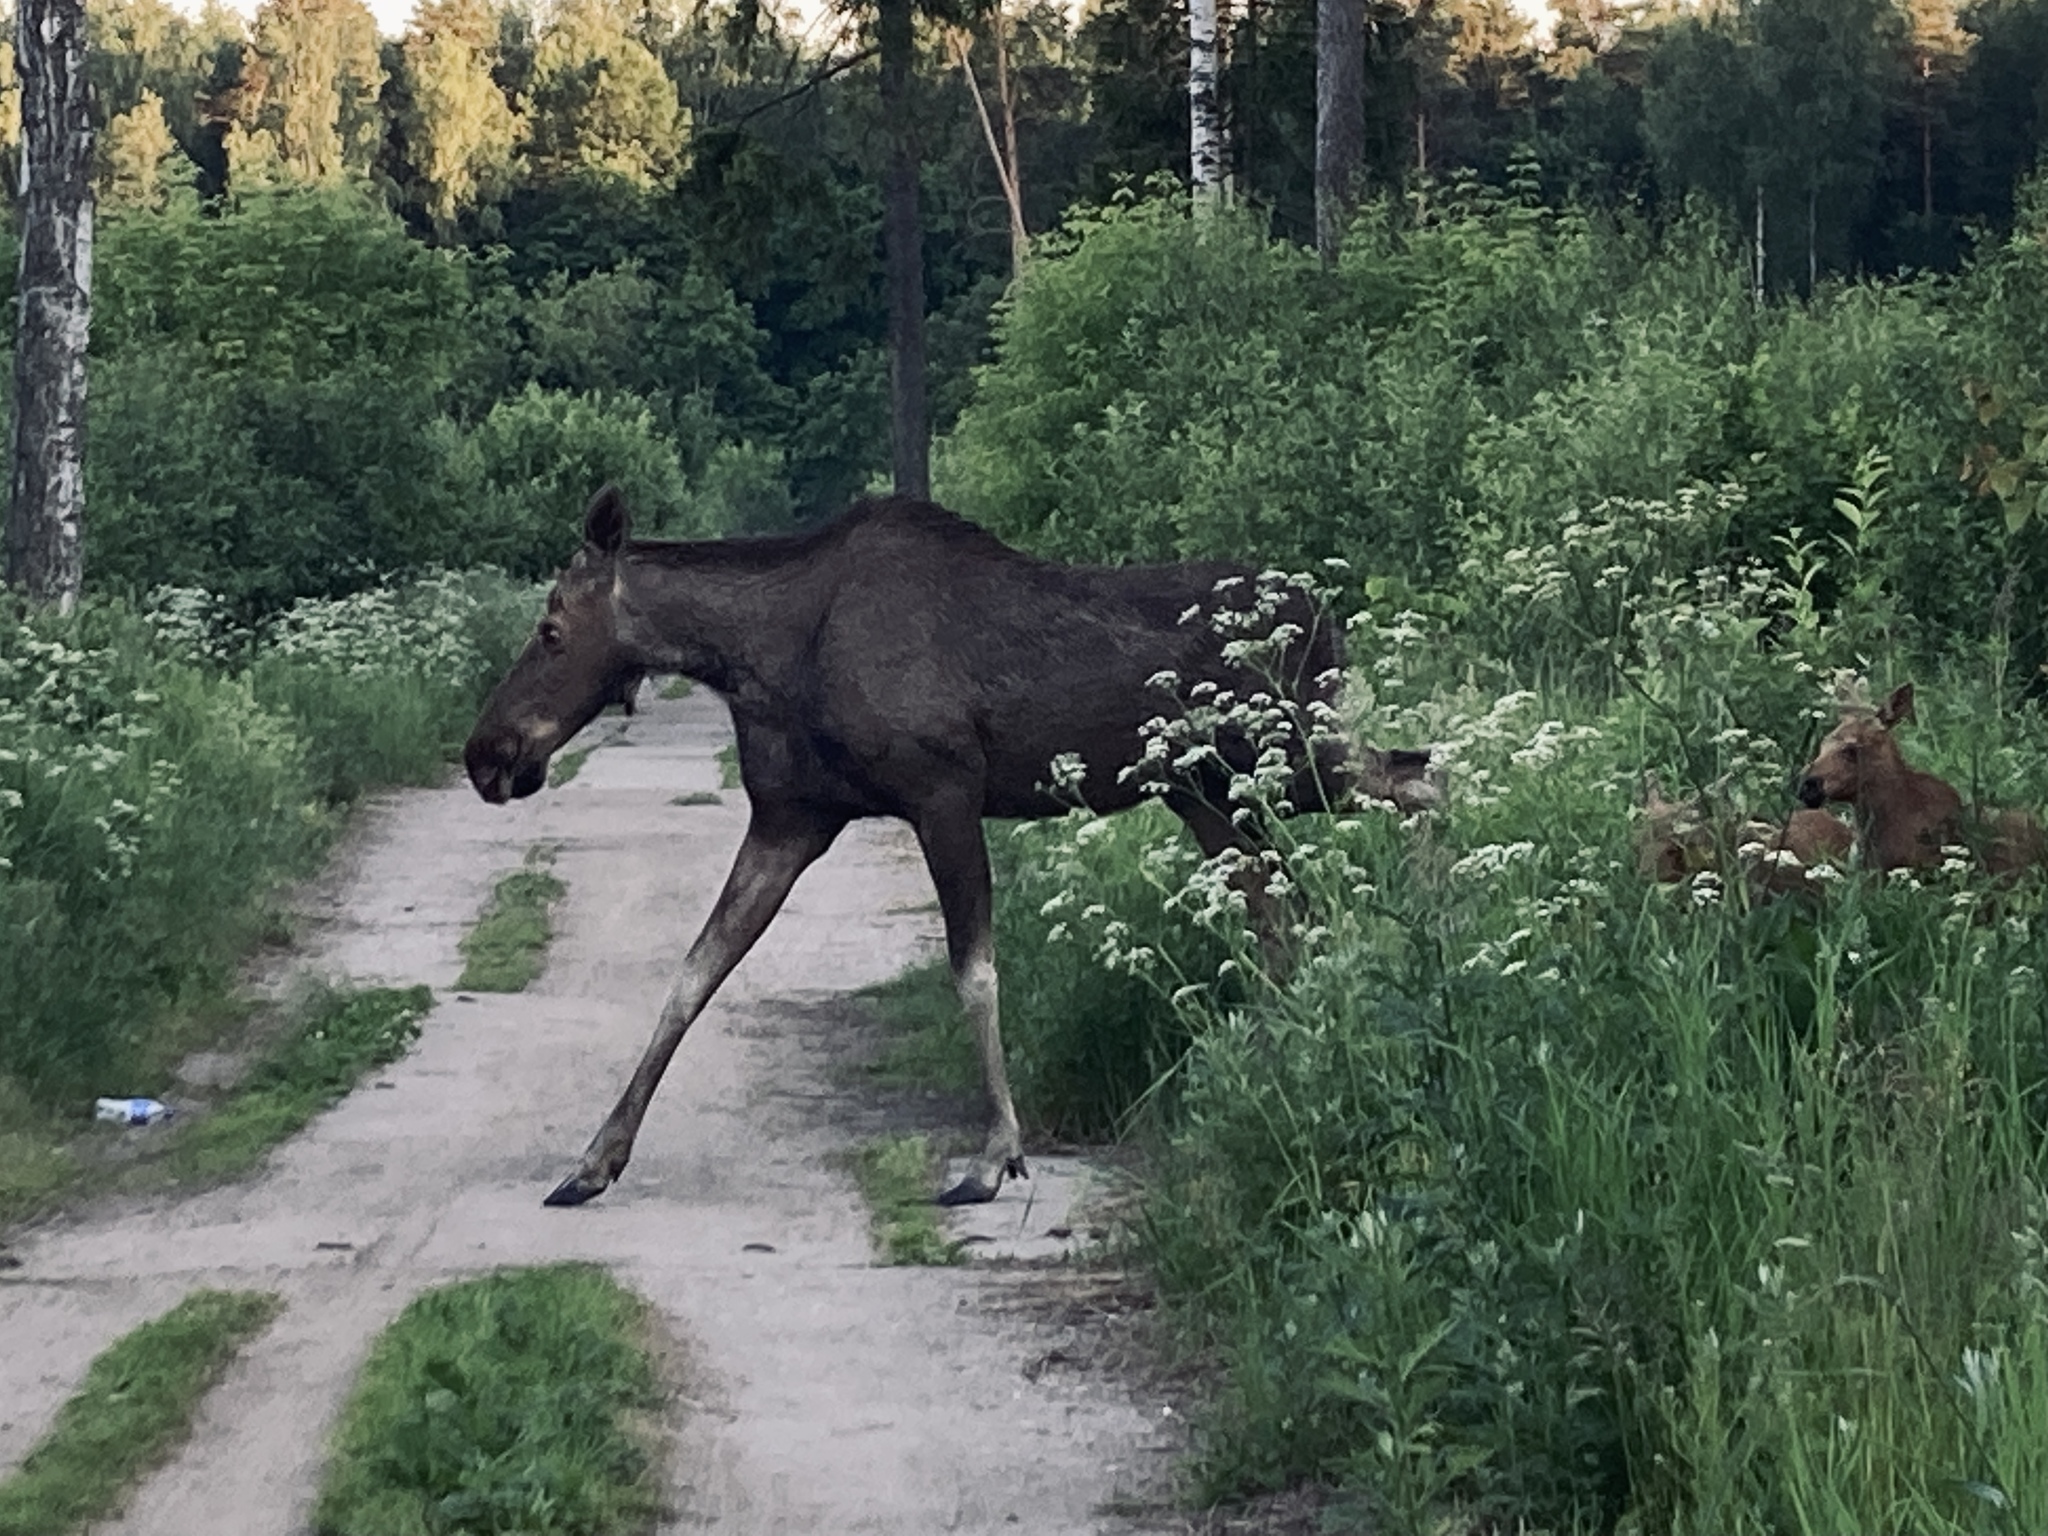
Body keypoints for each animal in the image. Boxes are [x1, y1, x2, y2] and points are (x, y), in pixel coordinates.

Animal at [466, 487, 1433, 1212]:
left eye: (551, 630)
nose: (486, 755)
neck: (759, 658)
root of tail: (1328, 613)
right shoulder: (790, 820)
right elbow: (693, 975)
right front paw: (594, 1160)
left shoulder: (943, 794)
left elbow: (974, 973)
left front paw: (995, 1154)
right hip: (1213, 795)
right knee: (1286, 912)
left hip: (1294, 760)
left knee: (1422, 779)